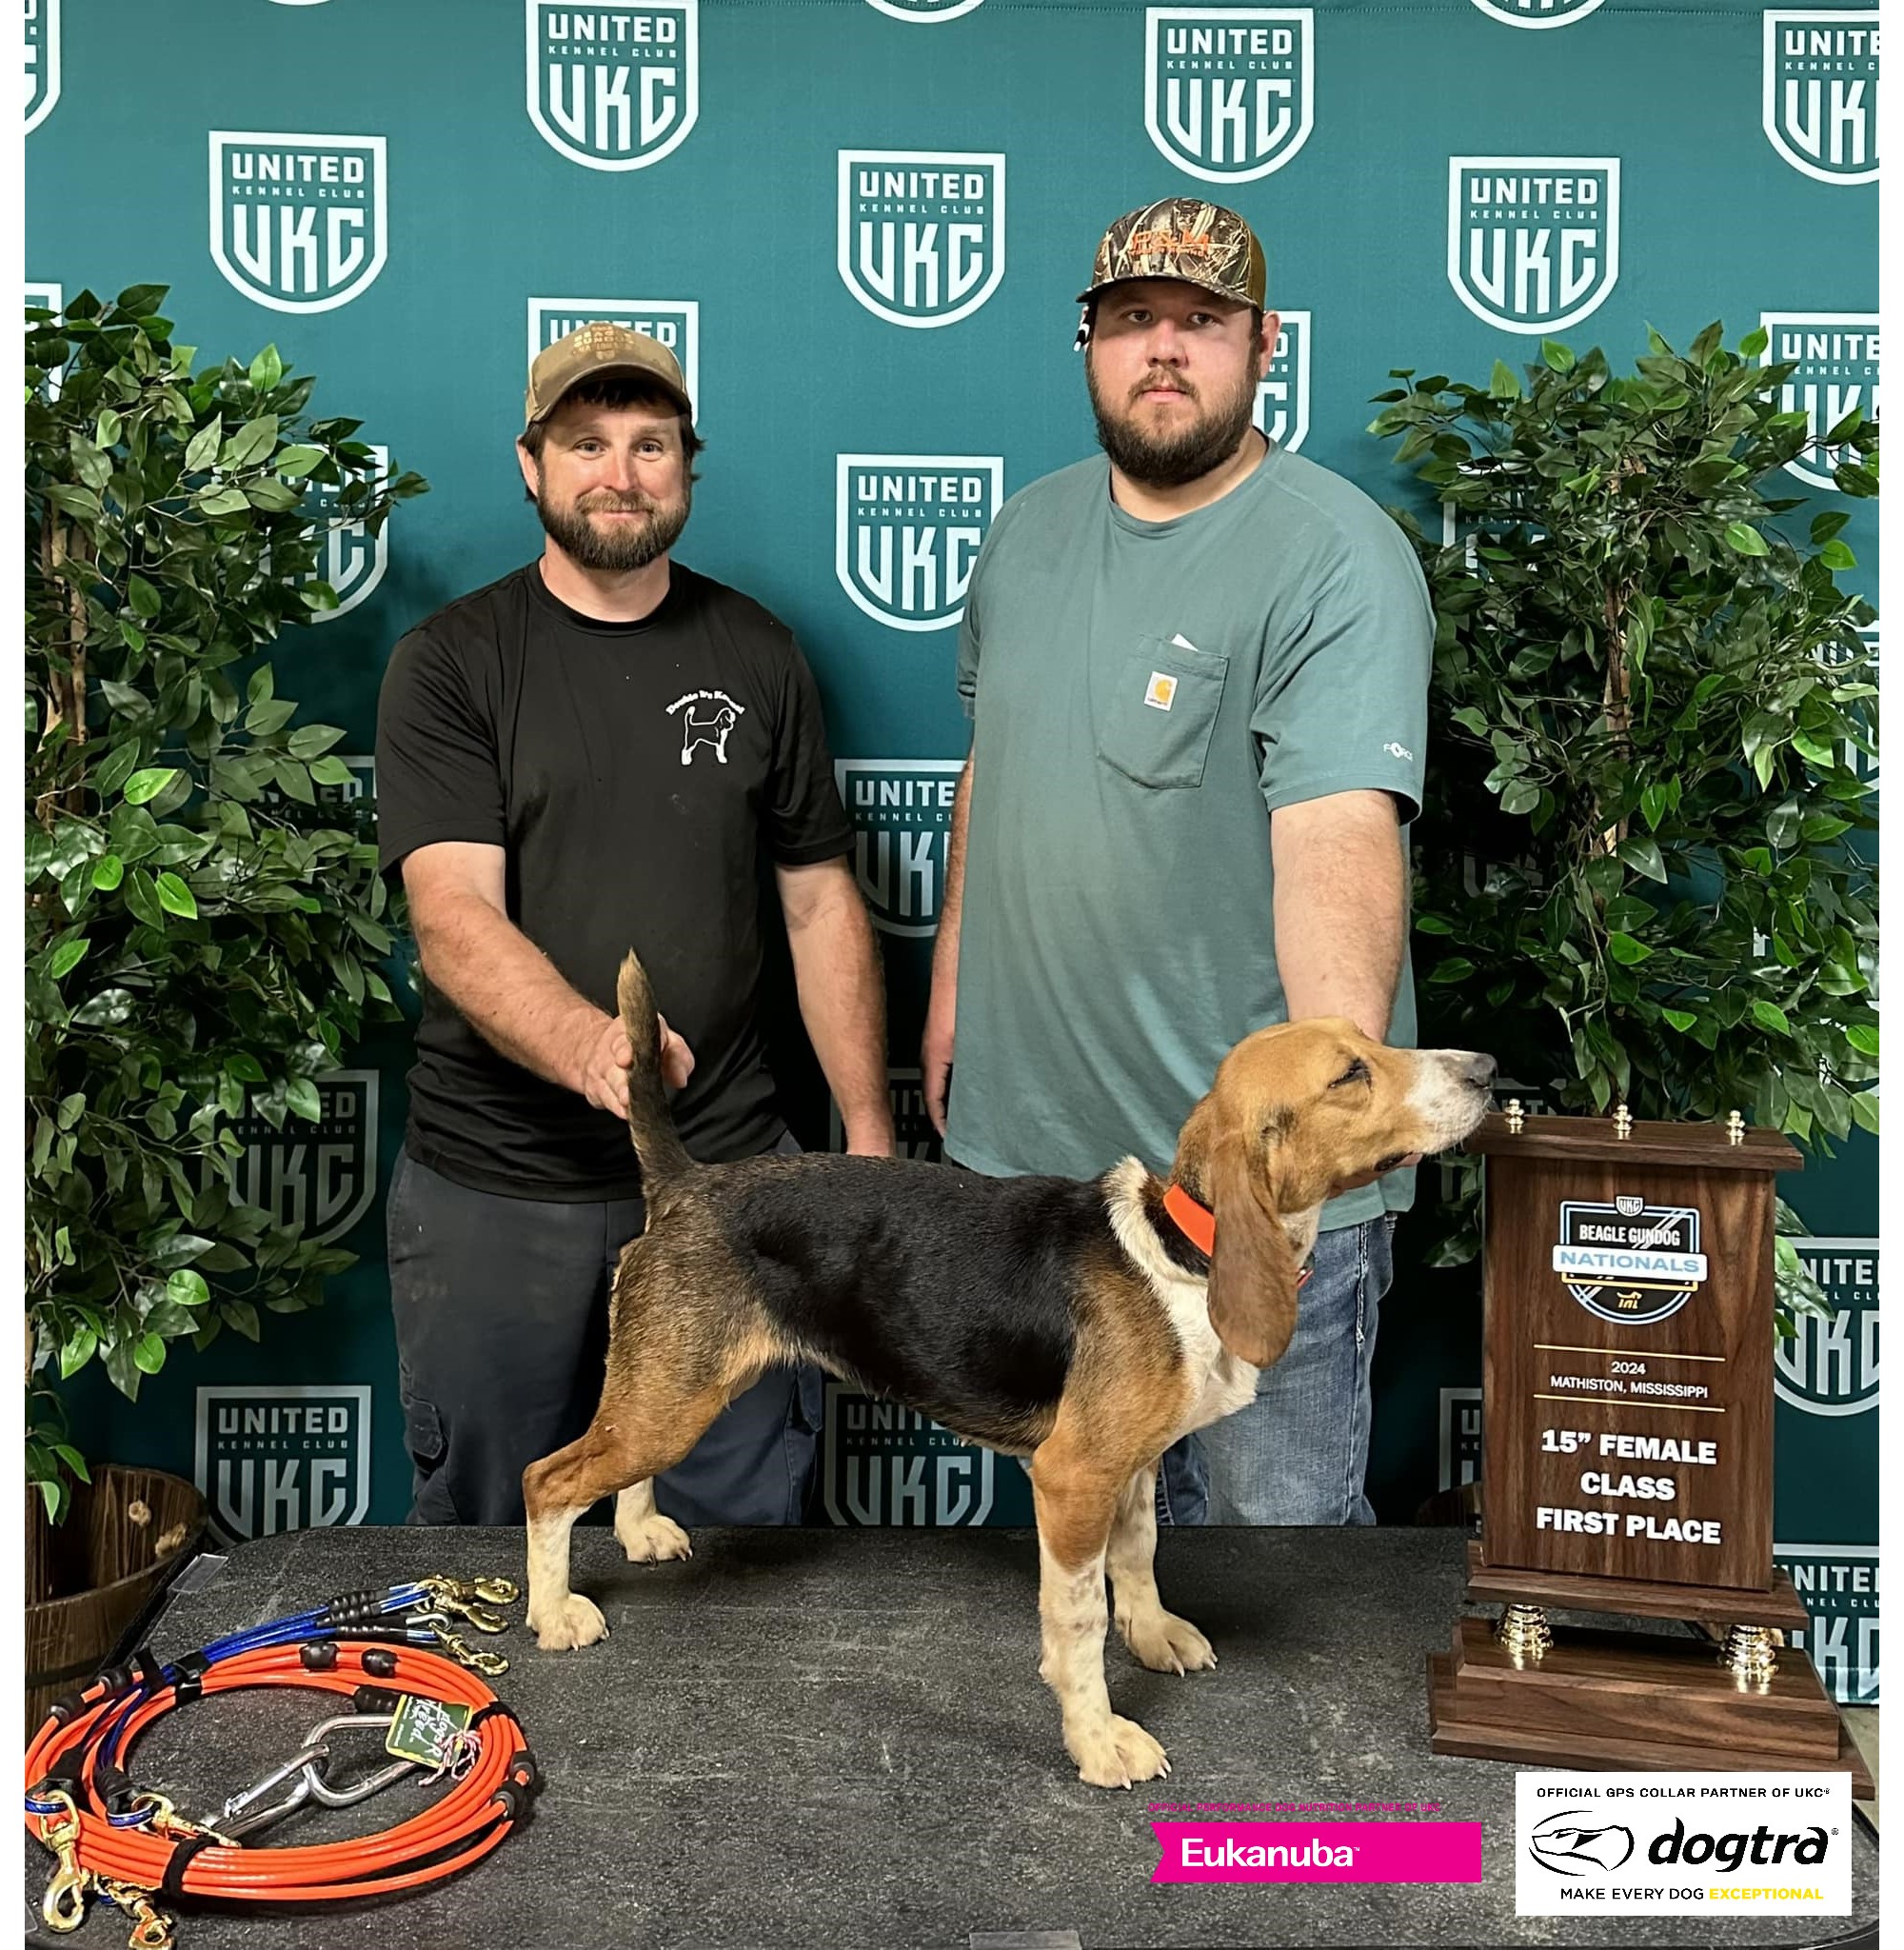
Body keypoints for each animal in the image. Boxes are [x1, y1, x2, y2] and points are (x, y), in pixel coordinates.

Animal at [522, 951, 1504, 1785]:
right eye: (1350, 1074)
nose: (1488, 1068)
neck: (1184, 1246)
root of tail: (687, 1183)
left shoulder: (1132, 1470)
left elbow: (1138, 1560)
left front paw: (1153, 1634)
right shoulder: (1072, 1478)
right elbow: (1079, 1619)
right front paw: (1098, 1737)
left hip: (670, 1395)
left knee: (614, 1470)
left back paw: (642, 1532)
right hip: (669, 1402)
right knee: (547, 1480)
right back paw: (556, 1611)